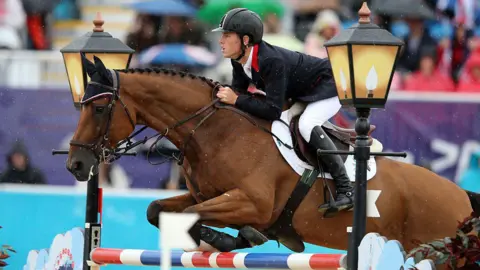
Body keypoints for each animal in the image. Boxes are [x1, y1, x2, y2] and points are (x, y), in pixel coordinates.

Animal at [66, 55, 480, 260]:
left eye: (99, 109)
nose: (76, 165)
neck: (213, 131)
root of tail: (461, 195)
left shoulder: (252, 202)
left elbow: (192, 216)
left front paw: (233, 239)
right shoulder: (206, 196)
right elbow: (159, 210)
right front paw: (232, 239)